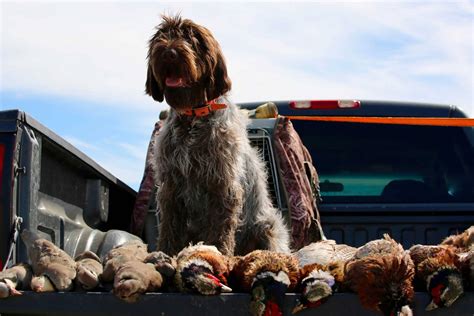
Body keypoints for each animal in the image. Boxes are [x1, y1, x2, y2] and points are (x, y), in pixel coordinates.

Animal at [146, 15, 290, 256]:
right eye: (162, 36)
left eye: (192, 39)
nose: (168, 52)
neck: (193, 118)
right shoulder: (171, 186)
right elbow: (169, 227)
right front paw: (165, 252)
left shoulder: (222, 184)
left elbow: (220, 228)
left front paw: (219, 253)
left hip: (267, 227)